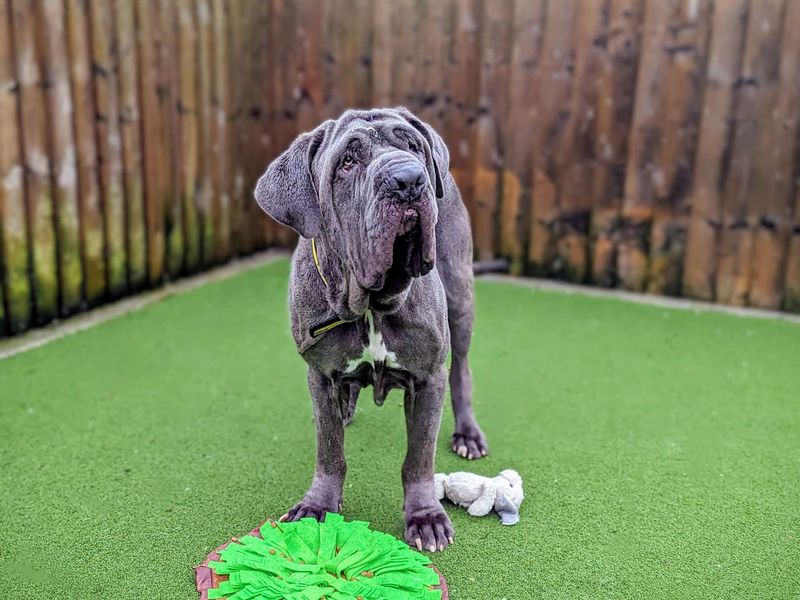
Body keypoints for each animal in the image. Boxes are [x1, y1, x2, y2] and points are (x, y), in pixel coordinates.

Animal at [256, 105, 488, 552]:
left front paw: (425, 517)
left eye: (412, 145)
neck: (371, 305)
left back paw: (467, 434)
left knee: (464, 370)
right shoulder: (319, 375)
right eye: (347, 161)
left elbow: (419, 456)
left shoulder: (428, 377)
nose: (409, 179)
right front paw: (318, 505)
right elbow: (329, 450)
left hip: (461, 301)